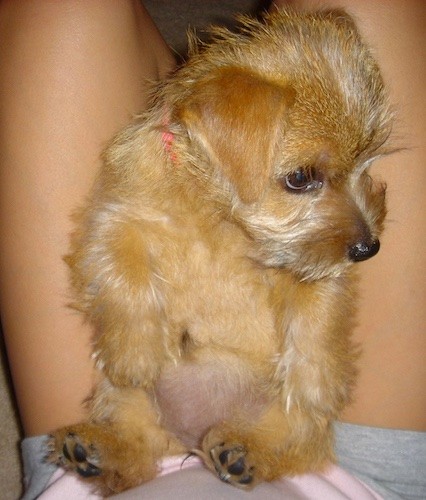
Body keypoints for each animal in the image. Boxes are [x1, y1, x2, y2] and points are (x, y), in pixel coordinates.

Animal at [49, 8, 392, 496]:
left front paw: (317, 383)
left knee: (294, 440)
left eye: (368, 163)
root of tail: (189, 441)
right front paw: (136, 355)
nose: (368, 248)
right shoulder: (114, 218)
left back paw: (243, 452)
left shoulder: (312, 267)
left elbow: (319, 313)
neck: (218, 219)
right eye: (300, 177)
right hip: (127, 403)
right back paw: (95, 450)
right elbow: (123, 273)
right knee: (137, 447)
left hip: (277, 426)